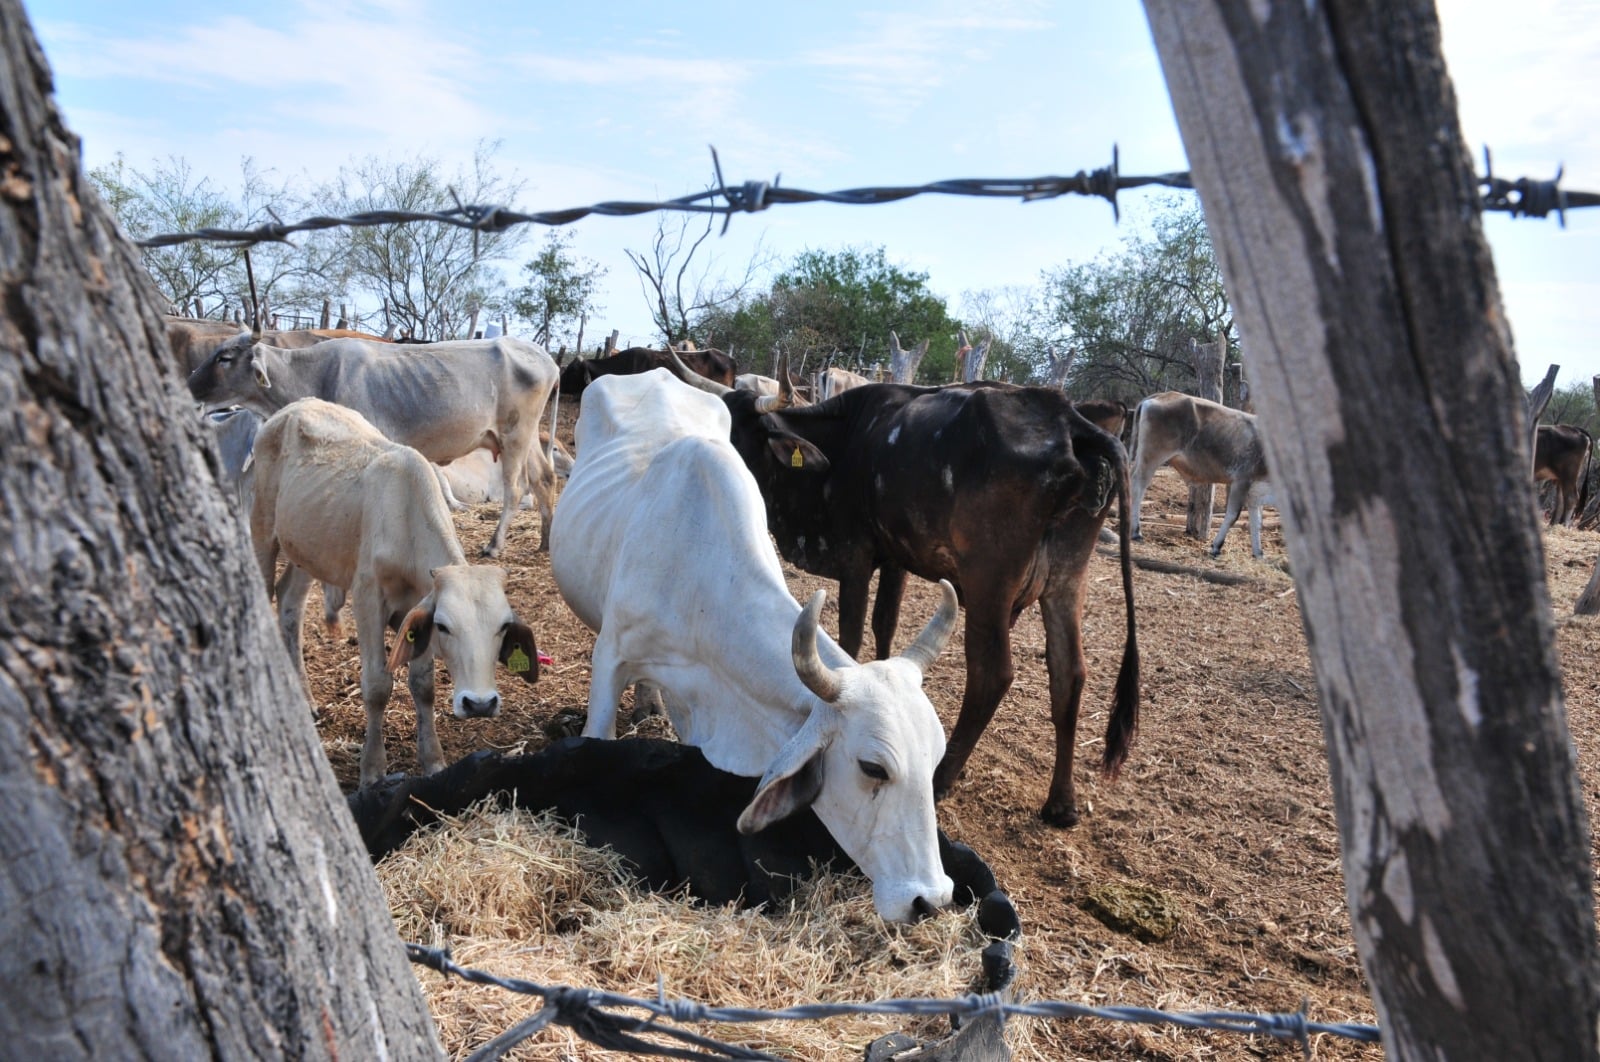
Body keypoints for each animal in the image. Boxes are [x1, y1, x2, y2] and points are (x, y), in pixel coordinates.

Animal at [252, 393, 540, 783]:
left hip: (307, 550)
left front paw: (433, 760)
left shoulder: (416, 607)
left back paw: (306, 701)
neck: (406, 521)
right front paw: (372, 770)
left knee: (289, 604)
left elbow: (423, 685)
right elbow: (377, 685)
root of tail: (292, 407)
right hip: (262, 530)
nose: (479, 703)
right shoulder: (367, 598)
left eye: (504, 626)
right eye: (445, 626)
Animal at [668, 356, 1145, 831]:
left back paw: (944, 776)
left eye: (743, 436)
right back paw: (1061, 802)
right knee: (1069, 674)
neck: (843, 443)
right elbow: (886, 626)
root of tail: (1066, 417)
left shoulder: (855, 557)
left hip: (989, 583)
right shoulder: (896, 558)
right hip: (1066, 581)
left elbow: (851, 635)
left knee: (992, 675)